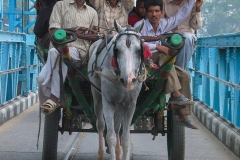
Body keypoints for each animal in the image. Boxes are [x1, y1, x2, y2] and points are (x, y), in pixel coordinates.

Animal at [88, 20, 144, 160]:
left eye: (139, 50)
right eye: (117, 50)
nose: (129, 80)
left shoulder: (130, 104)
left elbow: (125, 138)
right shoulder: (108, 102)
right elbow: (111, 137)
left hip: (121, 103)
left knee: (117, 126)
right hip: (97, 95)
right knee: (101, 124)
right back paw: (101, 153)